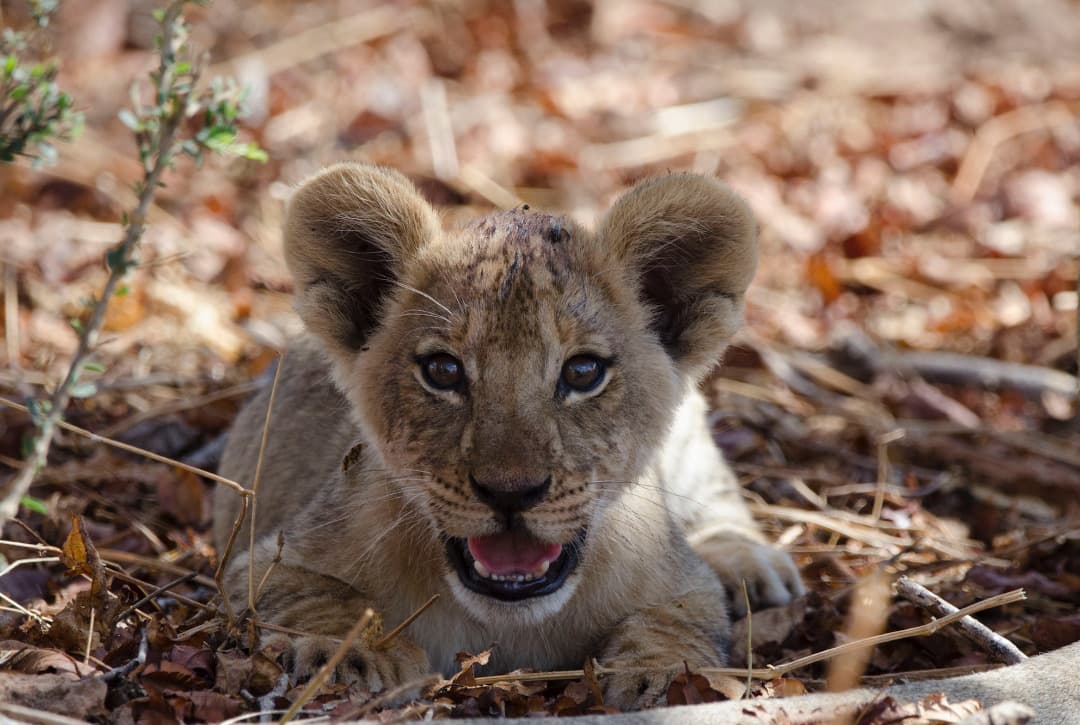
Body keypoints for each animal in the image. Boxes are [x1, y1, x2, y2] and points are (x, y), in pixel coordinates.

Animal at [213, 163, 803, 709]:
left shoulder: (686, 582)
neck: (506, 624)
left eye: (583, 372)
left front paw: (662, 678)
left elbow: (675, 622)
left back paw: (752, 564)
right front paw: (361, 654)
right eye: (443, 371)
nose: (511, 492)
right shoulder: (265, 562)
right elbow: (319, 599)